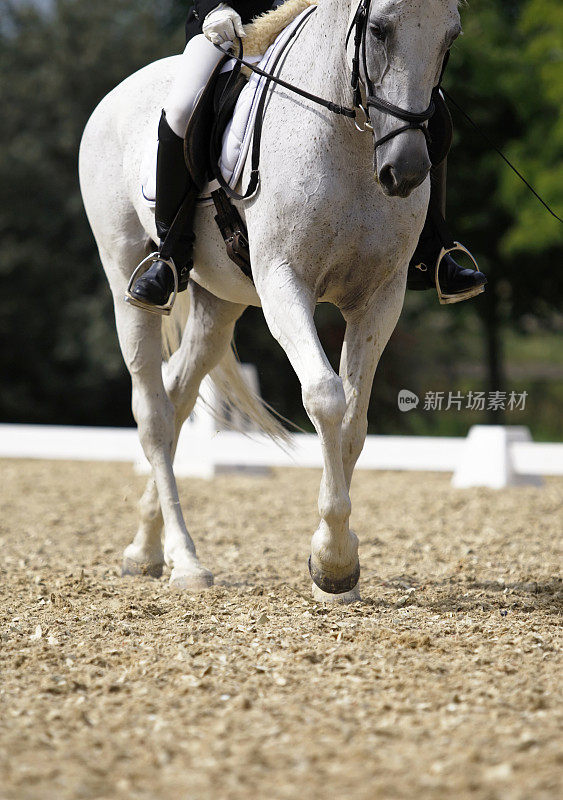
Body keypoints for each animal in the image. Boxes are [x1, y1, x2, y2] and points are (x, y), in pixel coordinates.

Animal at [79, 0, 464, 600]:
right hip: (126, 281)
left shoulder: (380, 299)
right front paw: (332, 562)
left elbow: (354, 421)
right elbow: (327, 398)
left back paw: (147, 549)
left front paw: (340, 567)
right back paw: (184, 562)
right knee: (152, 411)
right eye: (379, 29)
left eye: (451, 37)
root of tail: (118, 92)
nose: (404, 171)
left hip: (219, 301)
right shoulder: (286, 285)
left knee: (176, 394)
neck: (350, 141)